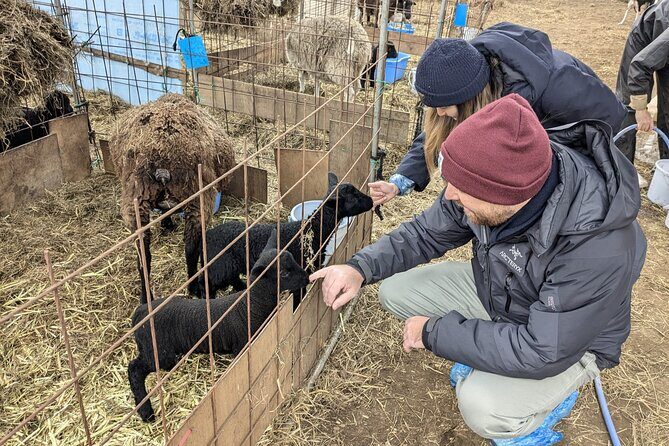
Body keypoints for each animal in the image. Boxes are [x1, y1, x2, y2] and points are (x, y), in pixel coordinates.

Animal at [109, 94, 235, 304]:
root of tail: (162, 158)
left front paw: (166, 223)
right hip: (196, 197)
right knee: (190, 247)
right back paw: (193, 287)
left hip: (136, 200)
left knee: (144, 255)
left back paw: (146, 298)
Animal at [128, 229, 309, 422]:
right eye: (283, 273)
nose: (307, 277)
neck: (251, 304)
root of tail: (140, 312)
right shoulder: (241, 348)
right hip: (159, 353)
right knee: (134, 369)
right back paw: (146, 413)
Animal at [204, 173, 373, 307]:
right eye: (353, 197)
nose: (371, 200)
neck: (314, 229)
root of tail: (208, 235)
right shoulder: (299, 274)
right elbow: (299, 297)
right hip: (219, 269)